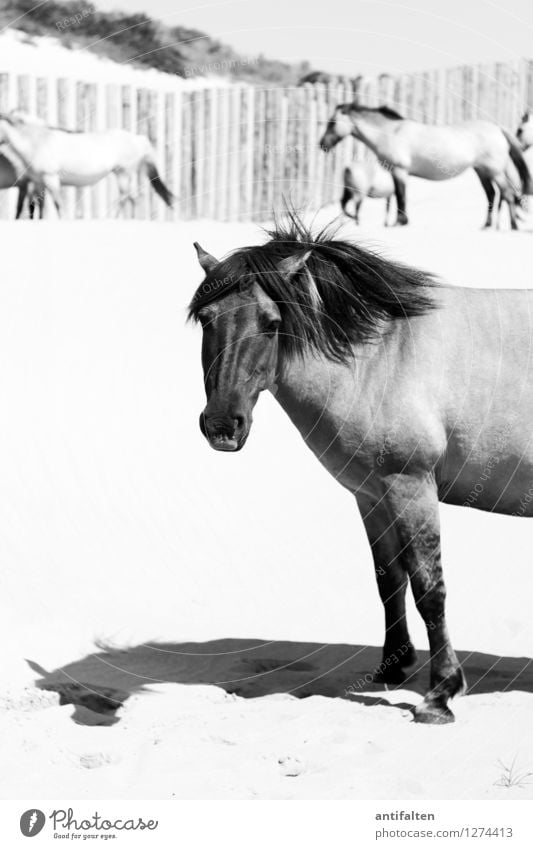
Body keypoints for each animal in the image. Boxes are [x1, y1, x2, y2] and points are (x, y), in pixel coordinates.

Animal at [0, 111, 172, 217]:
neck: (38, 141)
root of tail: (138, 139)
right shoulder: (37, 181)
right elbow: (37, 205)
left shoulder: (51, 178)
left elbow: (58, 204)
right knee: (132, 199)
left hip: (124, 173)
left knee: (126, 199)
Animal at [188, 215, 533, 724]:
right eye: (207, 320)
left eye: (272, 324)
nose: (222, 426)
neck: (380, 357)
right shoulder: (372, 495)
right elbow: (389, 579)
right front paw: (394, 666)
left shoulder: (411, 487)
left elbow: (429, 587)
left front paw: (441, 692)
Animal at [318, 103, 528, 229]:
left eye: (332, 123)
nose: (322, 144)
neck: (390, 132)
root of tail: (498, 128)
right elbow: (399, 197)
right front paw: (400, 221)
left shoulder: (400, 171)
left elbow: (401, 196)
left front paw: (400, 222)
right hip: (482, 171)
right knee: (492, 195)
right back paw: (487, 224)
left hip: (495, 171)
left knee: (507, 193)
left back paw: (513, 225)